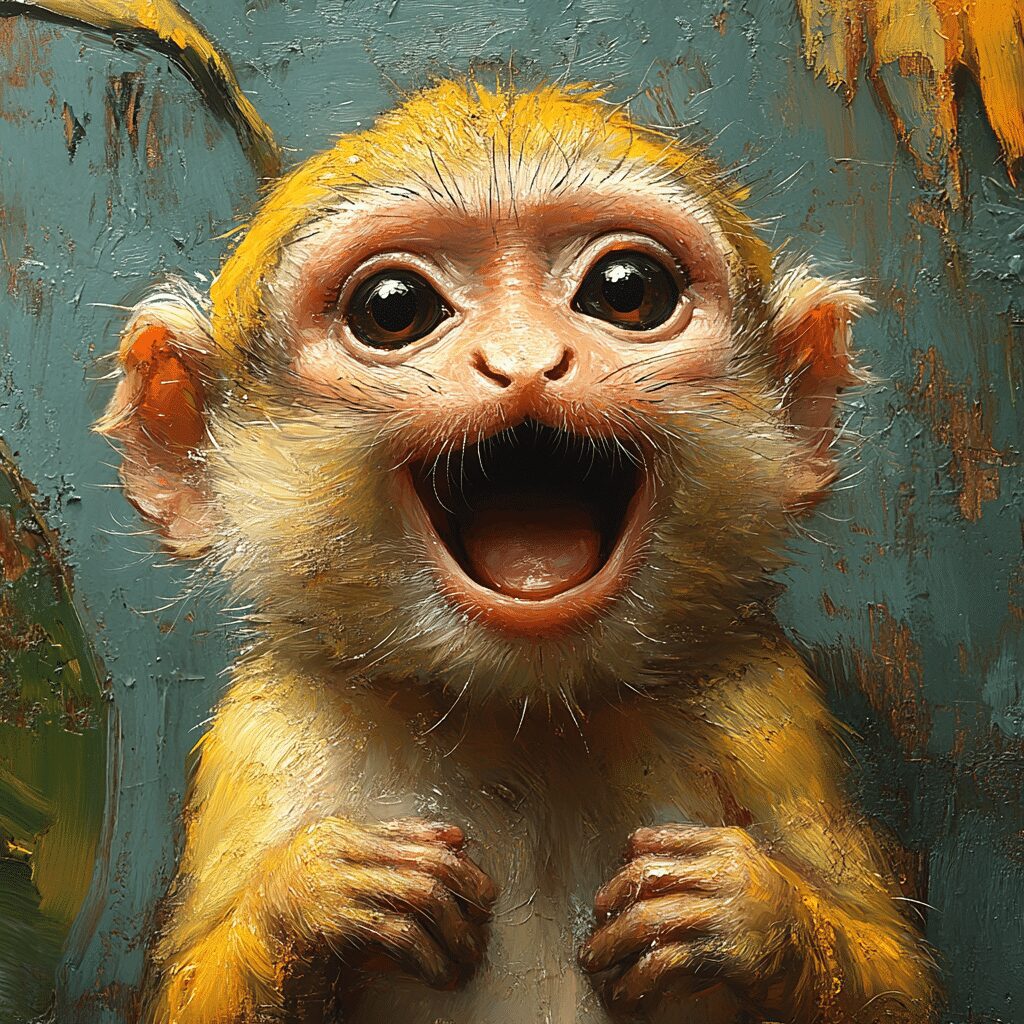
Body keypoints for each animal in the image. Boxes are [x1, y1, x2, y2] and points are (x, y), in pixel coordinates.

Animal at [4, 4, 940, 1023]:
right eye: (394, 307)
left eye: (626, 291)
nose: (525, 360)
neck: (520, 718)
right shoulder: (263, 738)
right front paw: (315, 905)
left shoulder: (769, 713)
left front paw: (751, 916)